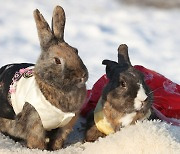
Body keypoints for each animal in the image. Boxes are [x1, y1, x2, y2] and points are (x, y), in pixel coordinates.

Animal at [0, 5, 88, 150]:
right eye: (57, 60)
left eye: (76, 50)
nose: (82, 76)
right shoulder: (35, 122)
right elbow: (37, 141)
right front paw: (40, 149)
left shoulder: (65, 125)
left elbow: (58, 139)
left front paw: (55, 149)